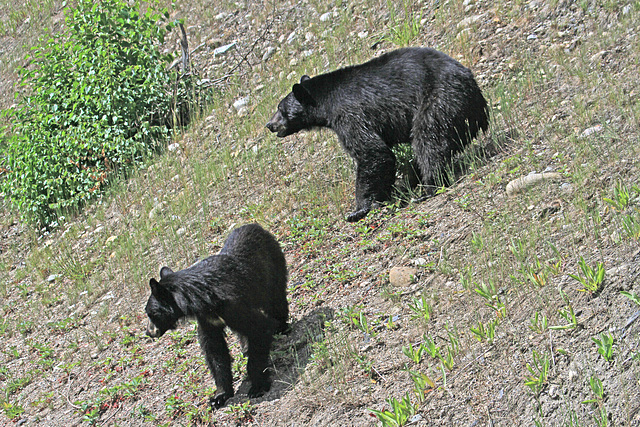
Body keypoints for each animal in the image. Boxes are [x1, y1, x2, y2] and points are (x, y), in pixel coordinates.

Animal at [145, 224, 288, 408]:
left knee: (276, 298)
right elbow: (214, 350)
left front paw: (257, 386)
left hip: (271, 268)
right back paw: (246, 347)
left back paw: (281, 327)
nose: (149, 332)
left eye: (150, 313)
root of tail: (255, 225)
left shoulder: (232, 306)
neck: (199, 299)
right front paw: (219, 396)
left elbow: (259, 327)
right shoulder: (207, 319)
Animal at [268, 46, 488, 222]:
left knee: (429, 140)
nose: (270, 124)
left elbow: (372, 152)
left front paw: (359, 209)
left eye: (280, 108)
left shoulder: (349, 114)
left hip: (439, 100)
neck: (326, 101)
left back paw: (429, 187)